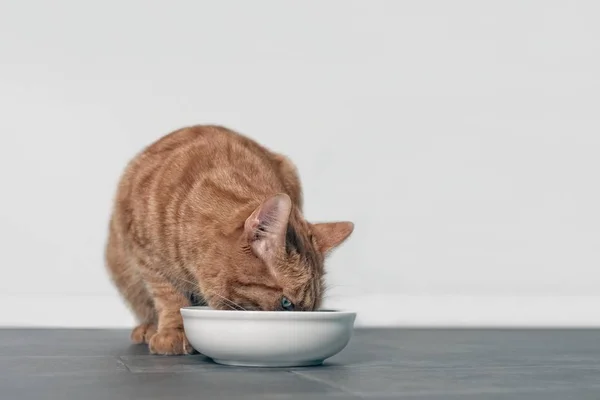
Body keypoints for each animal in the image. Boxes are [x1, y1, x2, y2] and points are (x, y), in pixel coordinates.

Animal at [105, 125, 354, 354]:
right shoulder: (146, 257)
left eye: (313, 307)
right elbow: (169, 296)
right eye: (286, 303)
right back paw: (147, 328)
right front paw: (174, 332)